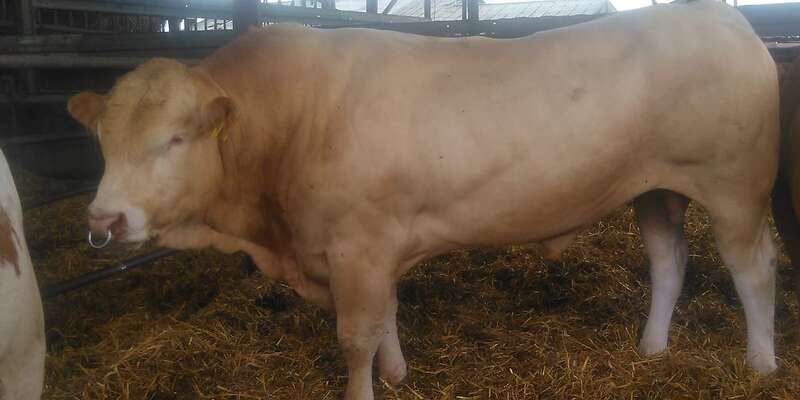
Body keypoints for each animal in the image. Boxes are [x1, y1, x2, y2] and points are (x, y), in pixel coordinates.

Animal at [67, 1, 779, 398]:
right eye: (102, 139)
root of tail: (718, 14)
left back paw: (761, 364)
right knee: (668, 262)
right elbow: (386, 315)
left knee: (754, 271)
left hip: (735, 188)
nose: (105, 219)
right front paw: (398, 374)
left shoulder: (357, 244)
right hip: (656, 188)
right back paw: (652, 350)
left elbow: (355, 335)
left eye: (175, 138)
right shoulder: (377, 244)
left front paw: (365, 390)